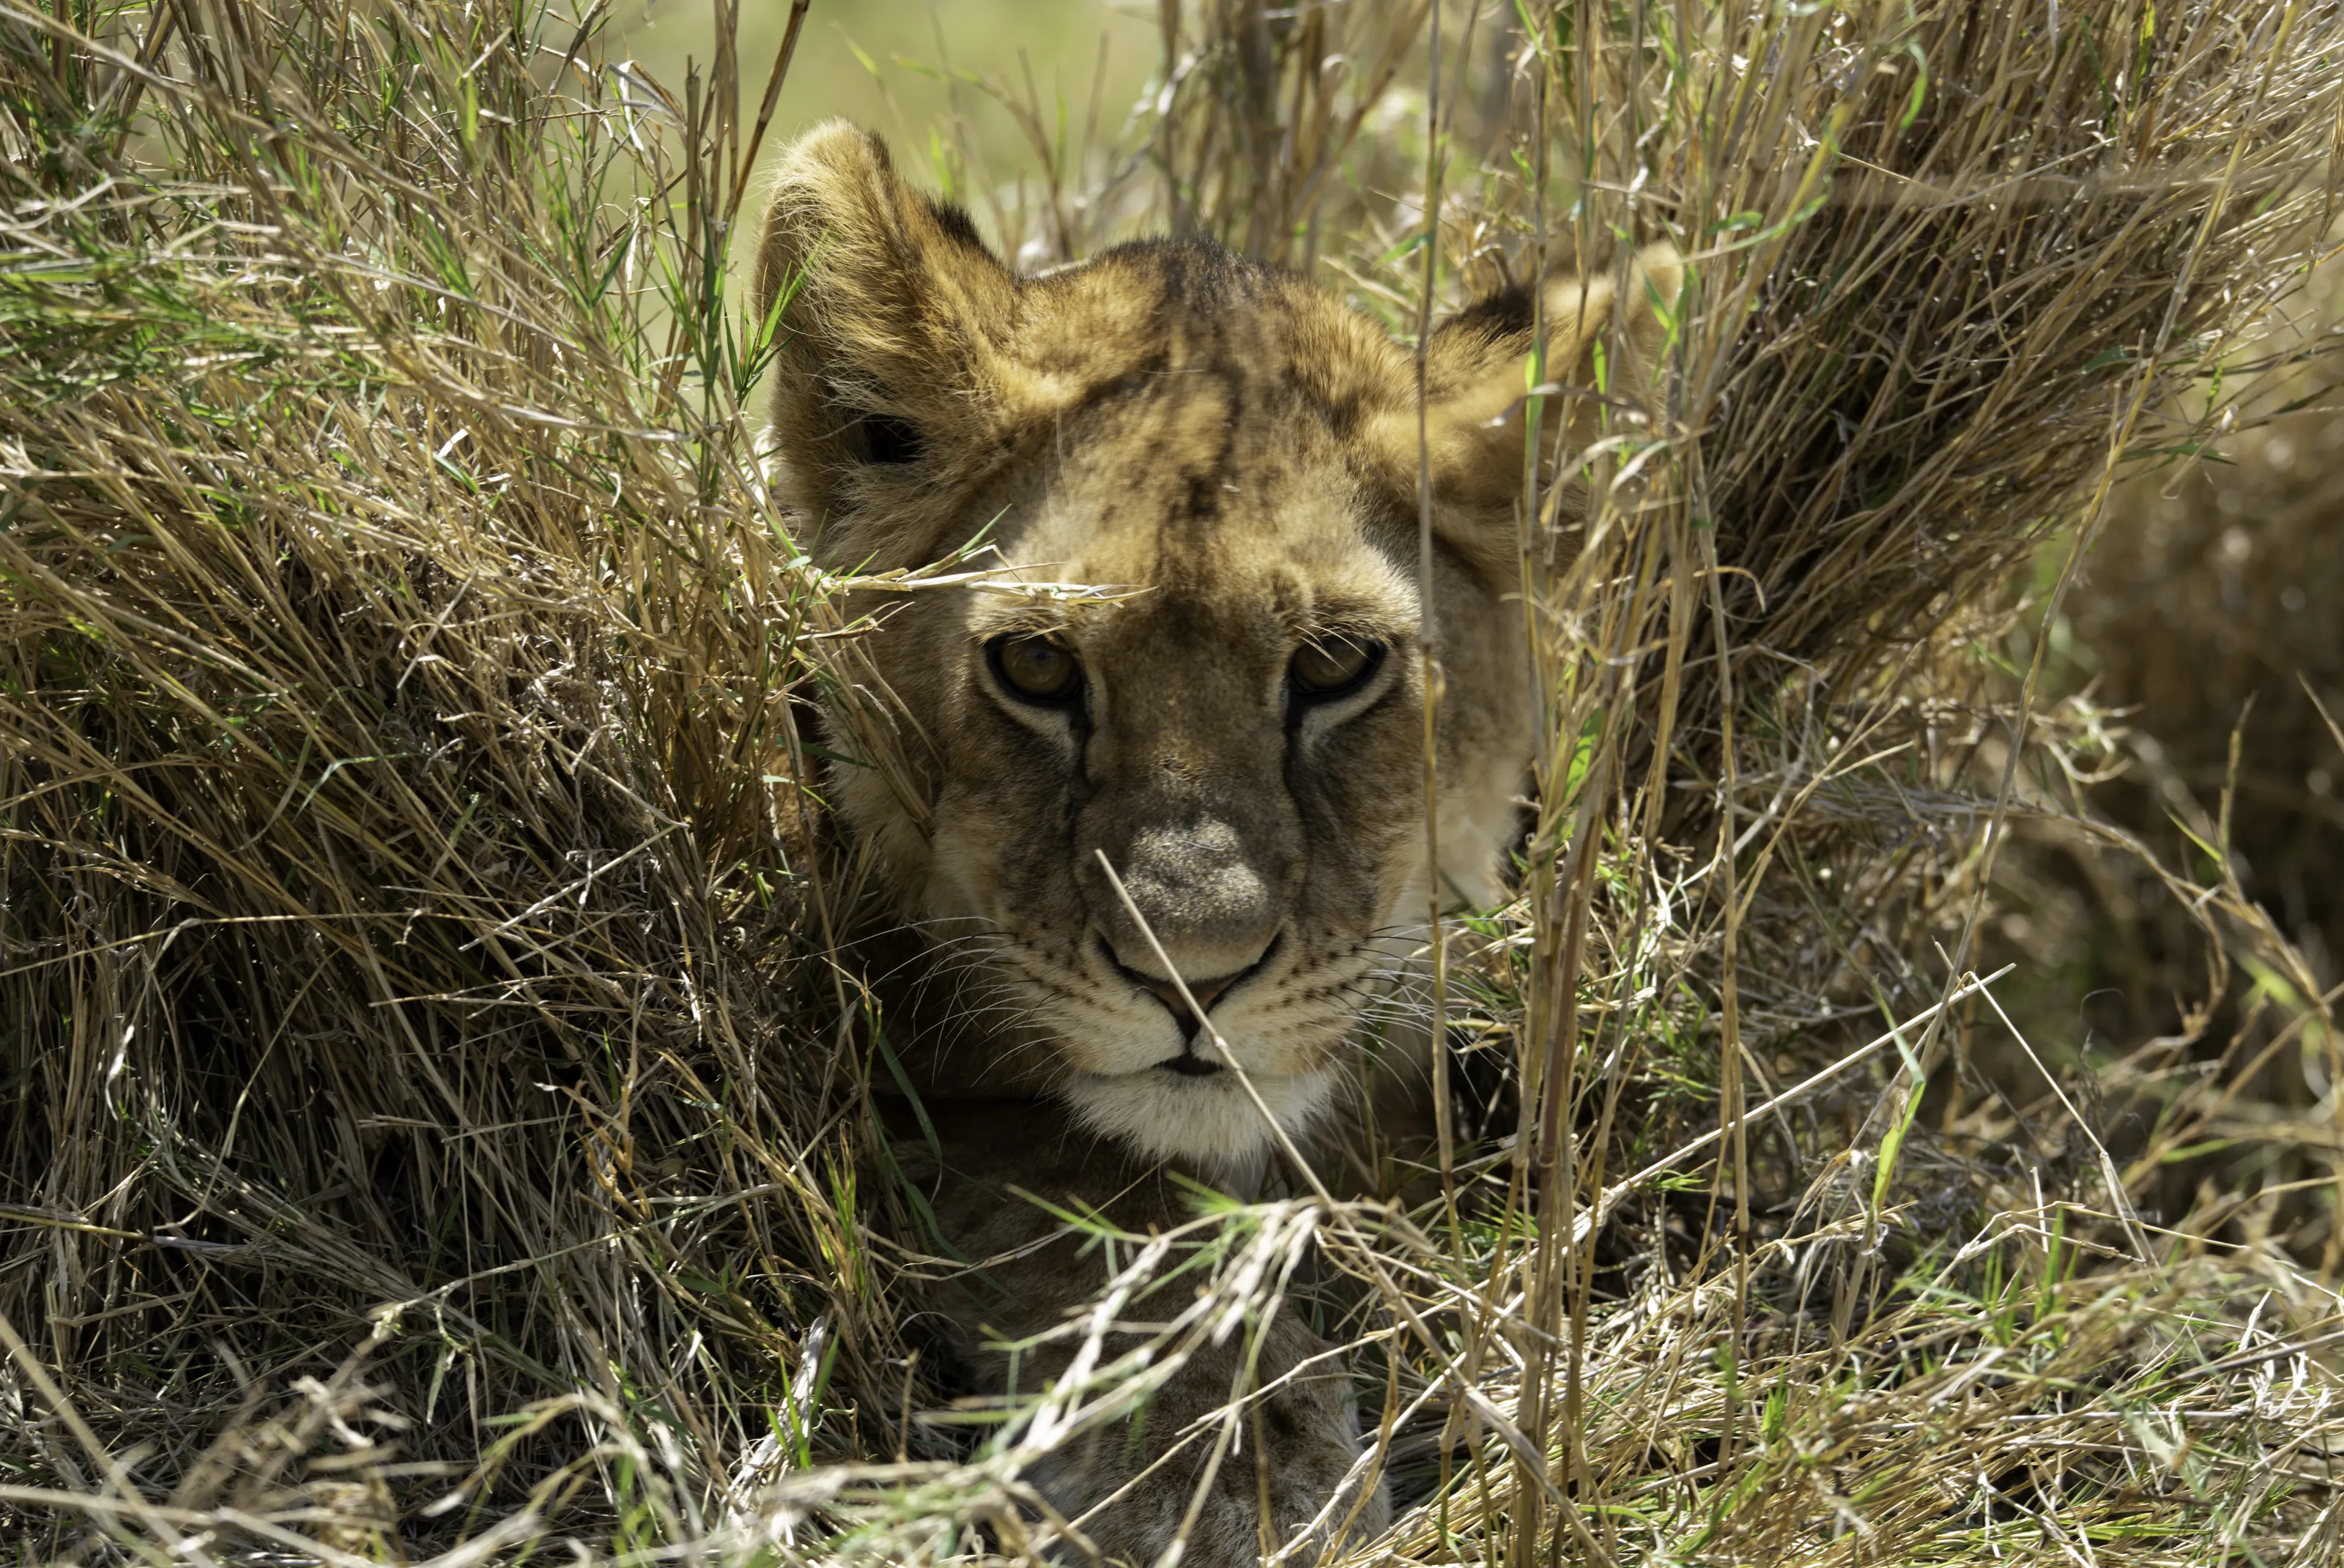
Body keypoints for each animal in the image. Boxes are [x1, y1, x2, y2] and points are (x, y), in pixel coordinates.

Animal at [751, 123, 1678, 1565]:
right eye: (1034, 667)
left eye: (1338, 666)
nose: (1195, 979)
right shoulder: (898, 1078)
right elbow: (1080, 1195)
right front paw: (1227, 1459)